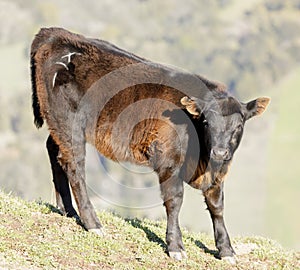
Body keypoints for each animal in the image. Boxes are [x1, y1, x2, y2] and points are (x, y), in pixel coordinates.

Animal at [30, 28, 270, 264]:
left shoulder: (217, 171)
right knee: (74, 166)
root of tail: (54, 34)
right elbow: (175, 201)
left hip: (58, 125)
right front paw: (175, 246)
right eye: (206, 122)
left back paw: (68, 210)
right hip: (68, 123)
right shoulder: (168, 161)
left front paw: (226, 250)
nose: (219, 152)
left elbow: (217, 206)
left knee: (54, 151)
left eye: (239, 125)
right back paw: (92, 223)